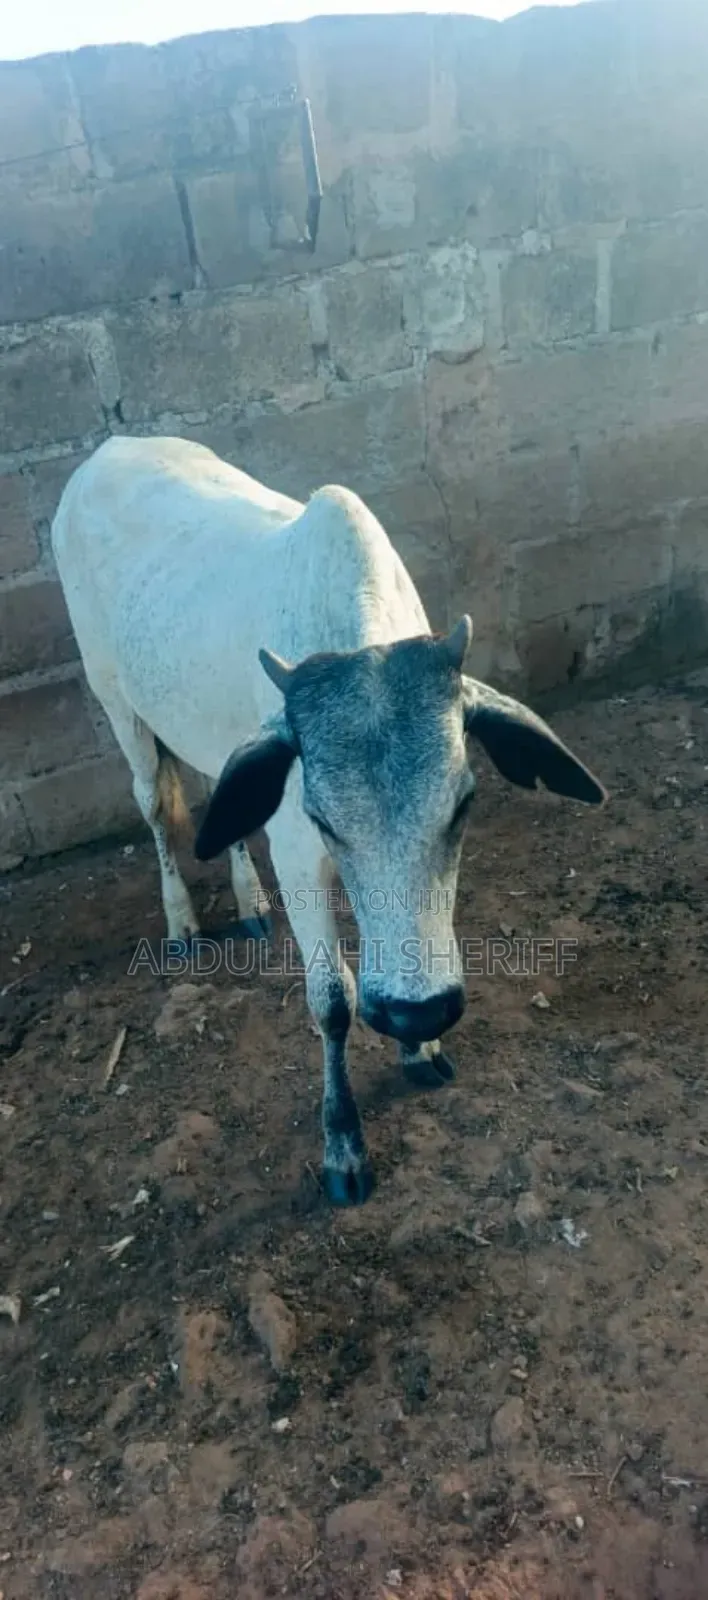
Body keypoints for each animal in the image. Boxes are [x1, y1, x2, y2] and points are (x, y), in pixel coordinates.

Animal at [51, 434, 606, 1206]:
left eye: (464, 803)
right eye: (321, 816)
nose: (416, 1011)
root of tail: (110, 446)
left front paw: (419, 1047)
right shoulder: (297, 855)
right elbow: (333, 1000)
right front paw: (343, 1142)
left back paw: (250, 904)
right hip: (116, 701)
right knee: (155, 808)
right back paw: (183, 920)